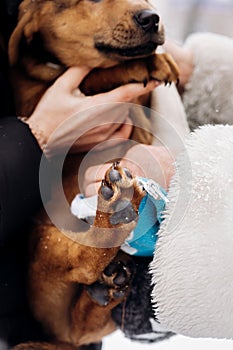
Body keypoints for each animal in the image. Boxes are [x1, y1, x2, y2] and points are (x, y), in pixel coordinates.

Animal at [7, 0, 178, 350]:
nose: (152, 18)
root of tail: (58, 336)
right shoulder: (33, 98)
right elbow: (93, 73)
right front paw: (147, 64)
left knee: (87, 316)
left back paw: (111, 285)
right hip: (46, 238)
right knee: (85, 262)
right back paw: (116, 212)